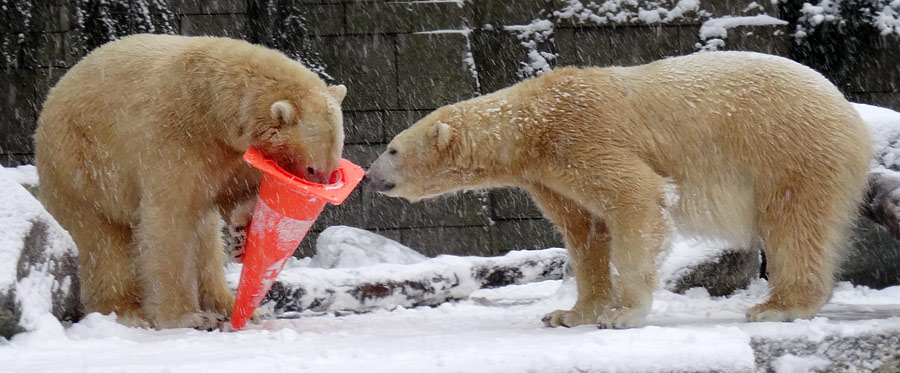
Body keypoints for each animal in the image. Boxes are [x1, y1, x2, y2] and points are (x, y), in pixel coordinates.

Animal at [35, 33, 346, 326]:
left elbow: (235, 195)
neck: (211, 101)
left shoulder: (235, 155)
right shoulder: (175, 140)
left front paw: (242, 237)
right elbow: (171, 220)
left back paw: (227, 304)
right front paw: (187, 318)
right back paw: (127, 312)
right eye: (311, 169)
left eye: (332, 166)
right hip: (80, 166)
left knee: (207, 240)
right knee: (101, 241)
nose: (321, 191)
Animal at [366, 50, 872, 326]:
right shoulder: (549, 174)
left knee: (796, 224)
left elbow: (635, 198)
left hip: (789, 151)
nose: (370, 177)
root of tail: (847, 110)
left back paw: (779, 306)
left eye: (392, 149)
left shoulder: (582, 135)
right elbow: (585, 229)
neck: (533, 123)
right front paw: (569, 314)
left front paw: (623, 314)